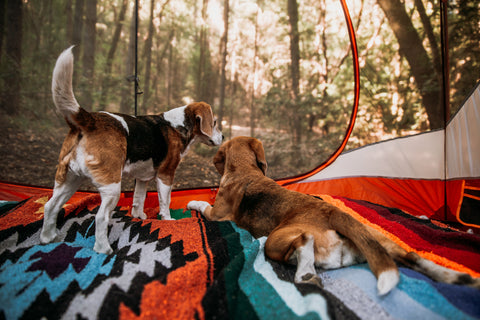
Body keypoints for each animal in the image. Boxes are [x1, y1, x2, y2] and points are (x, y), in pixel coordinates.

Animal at [40, 46, 222, 254]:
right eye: (215, 123)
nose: (224, 137)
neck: (177, 124)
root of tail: (90, 119)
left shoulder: (142, 177)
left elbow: (138, 198)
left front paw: (139, 216)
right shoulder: (166, 175)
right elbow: (165, 202)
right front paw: (167, 220)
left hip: (68, 180)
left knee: (50, 206)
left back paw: (48, 238)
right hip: (111, 186)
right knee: (100, 217)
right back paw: (104, 249)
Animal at [188, 135, 480, 296]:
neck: (245, 170)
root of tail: (334, 212)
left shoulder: (217, 213)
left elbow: (203, 205)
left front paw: (193, 201)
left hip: (276, 240)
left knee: (301, 243)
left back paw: (305, 274)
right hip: (380, 242)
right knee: (412, 257)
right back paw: (458, 278)